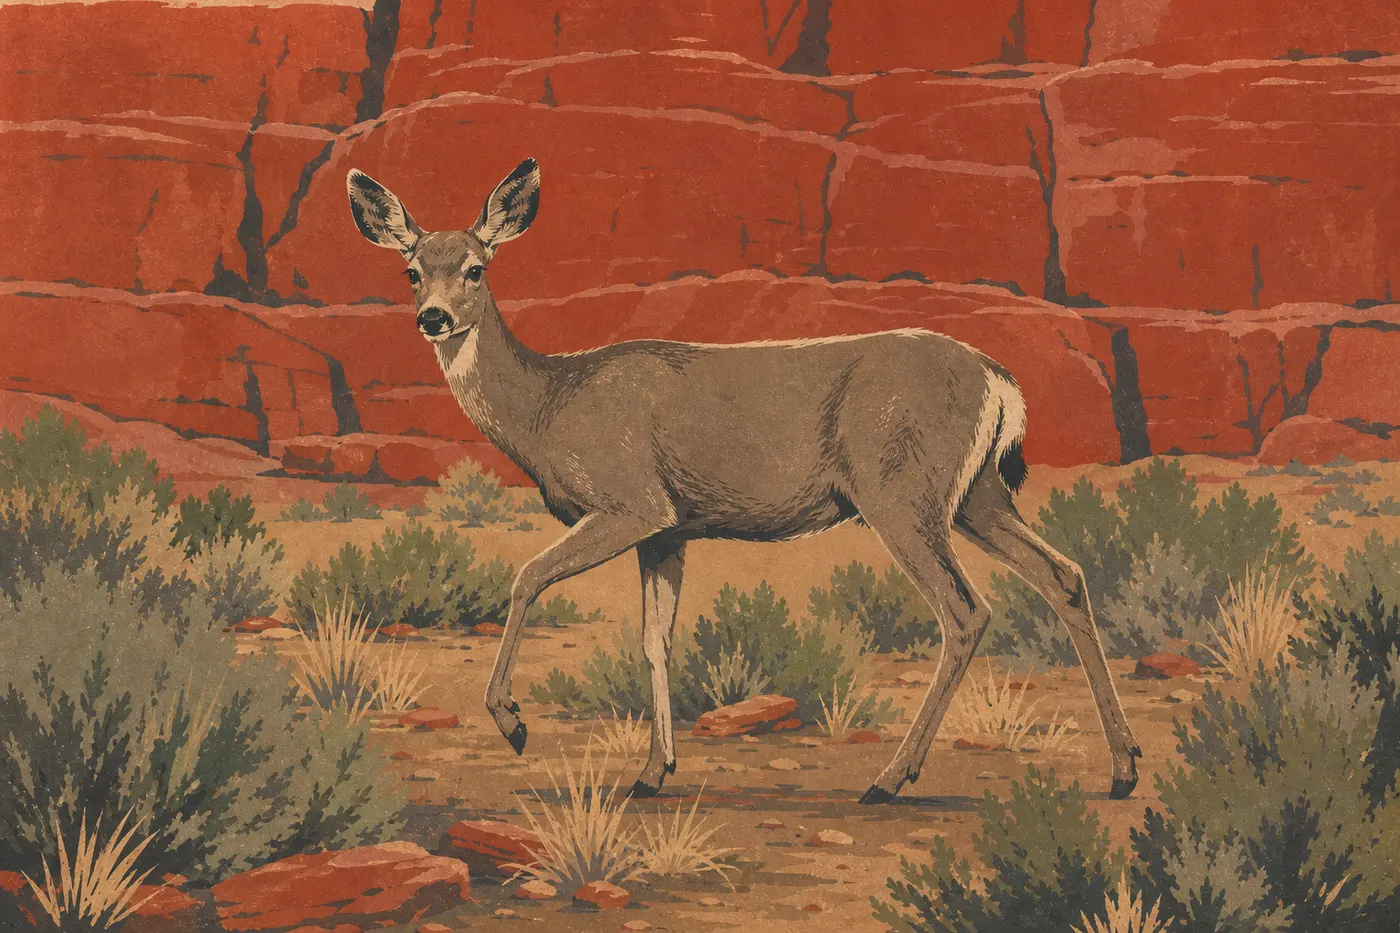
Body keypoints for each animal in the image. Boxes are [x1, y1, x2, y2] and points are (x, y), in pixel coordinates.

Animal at [345, 159, 1142, 804]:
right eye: (411, 271)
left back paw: (890, 779)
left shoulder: (630, 500)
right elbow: (655, 640)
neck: (550, 406)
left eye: (477, 268)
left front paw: (511, 722)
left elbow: (527, 576)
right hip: (978, 495)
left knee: (965, 610)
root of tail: (999, 380)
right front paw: (653, 772)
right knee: (1063, 574)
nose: (432, 318)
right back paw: (1124, 768)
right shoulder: (669, 528)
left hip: (901, 491)